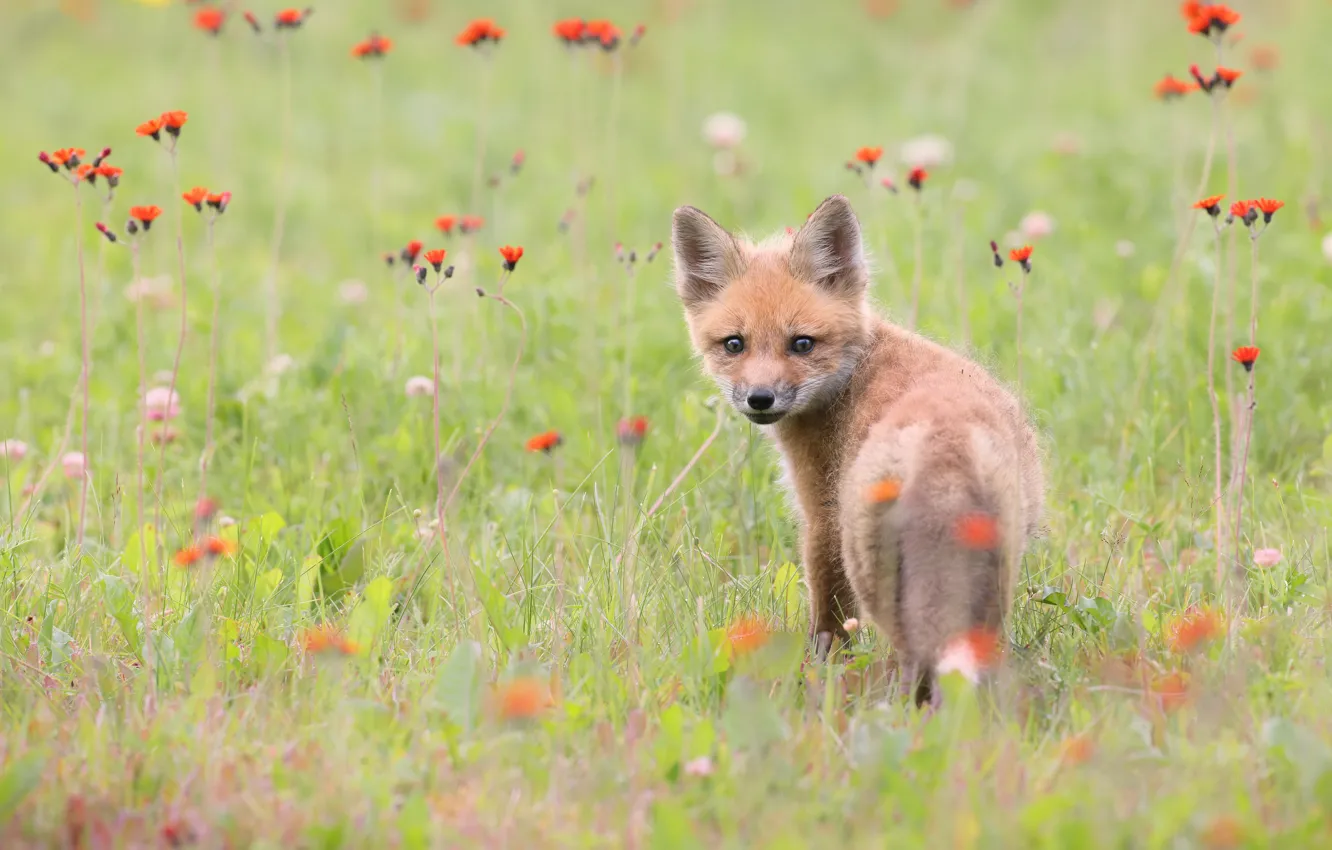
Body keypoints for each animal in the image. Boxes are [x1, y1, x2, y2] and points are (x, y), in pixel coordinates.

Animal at [670, 194, 1044, 705]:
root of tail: (943, 446)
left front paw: (817, 672)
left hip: (873, 570)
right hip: (995, 572)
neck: (857, 368)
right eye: (734, 344)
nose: (760, 399)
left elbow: (827, 621)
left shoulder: (823, 518)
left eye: (802, 343)